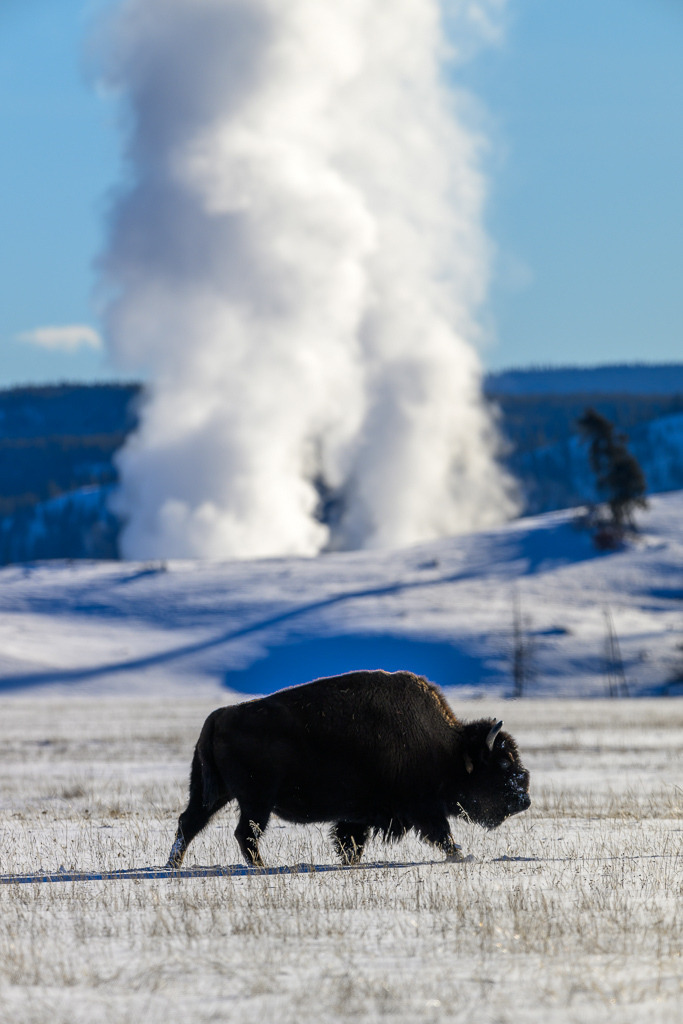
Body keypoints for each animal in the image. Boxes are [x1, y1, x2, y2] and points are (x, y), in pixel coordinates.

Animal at [167, 669, 530, 868]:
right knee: (245, 833)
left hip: (214, 793)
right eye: (502, 762)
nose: (524, 799)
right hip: (257, 800)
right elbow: (442, 834)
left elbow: (350, 840)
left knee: (190, 823)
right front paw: (461, 856)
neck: (448, 747)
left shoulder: (358, 816)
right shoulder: (423, 808)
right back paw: (261, 866)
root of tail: (217, 717)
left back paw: (173, 864)